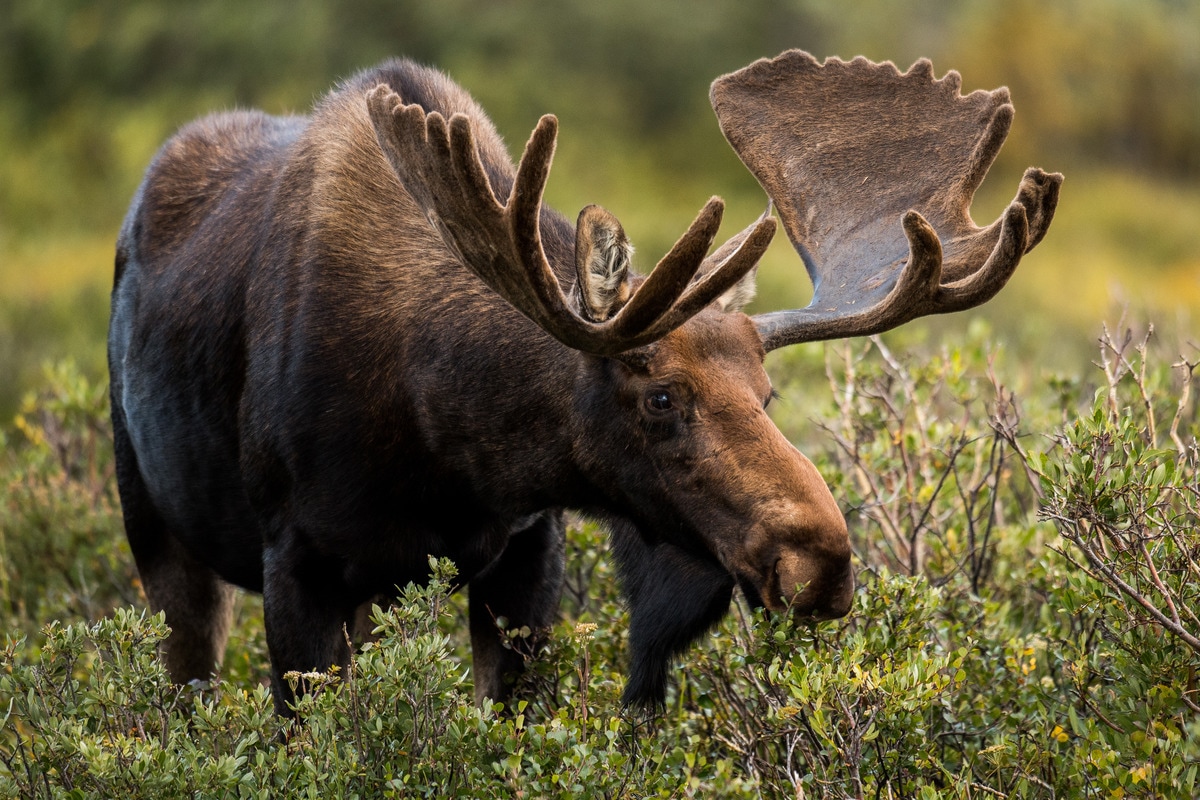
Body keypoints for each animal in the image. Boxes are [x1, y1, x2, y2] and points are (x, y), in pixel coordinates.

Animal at [103, 50, 1060, 714]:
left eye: (769, 395)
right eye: (661, 398)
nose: (820, 560)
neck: (440, 437)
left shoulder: (526, 547)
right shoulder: (296, 562)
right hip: (155, 529)